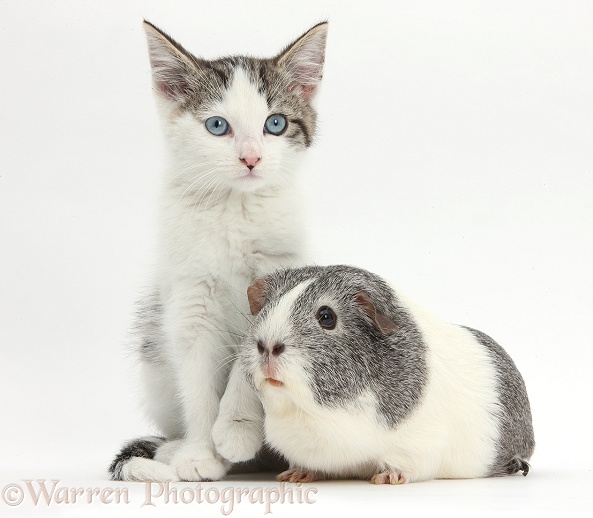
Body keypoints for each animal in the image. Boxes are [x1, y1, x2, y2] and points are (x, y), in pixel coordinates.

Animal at [108, 20, 326, 484]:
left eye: (275, 123)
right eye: (217, 126)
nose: (251, 158)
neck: (234, 209)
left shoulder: (278, 278)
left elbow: (255, 350)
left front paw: (235, 428)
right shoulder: (189, 300)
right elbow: (196, 377)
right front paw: (201, 453)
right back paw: (172, 449)